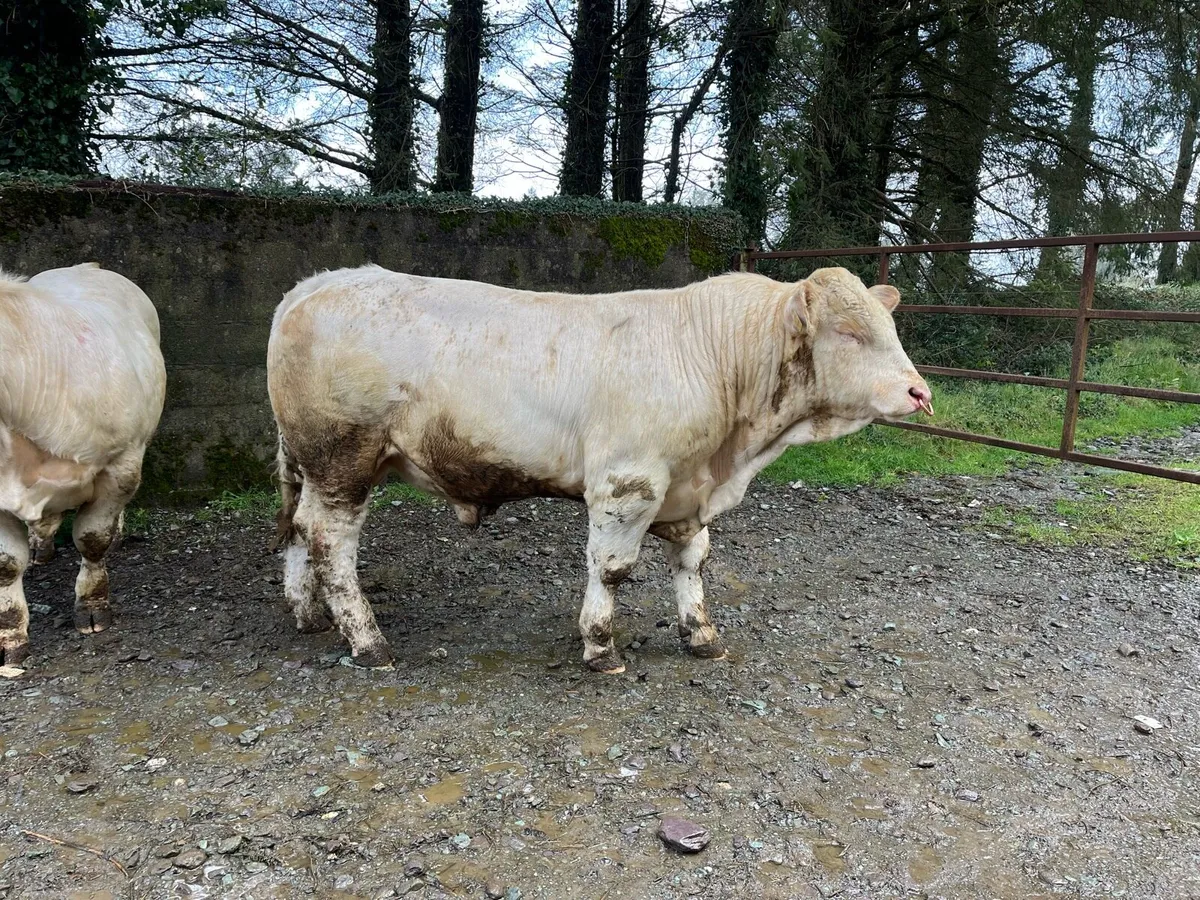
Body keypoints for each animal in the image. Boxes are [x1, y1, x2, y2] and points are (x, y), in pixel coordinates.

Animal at [267, 265, 932, 672]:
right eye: (848, 333)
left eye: (890, 326)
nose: (920, 393)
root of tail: (315, 285)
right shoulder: (628, 483)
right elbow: (612, 568)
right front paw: (599, 644)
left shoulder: (687, 489)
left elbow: (692, 562)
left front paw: (701, 635)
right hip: (343, 459)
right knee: (330, 541)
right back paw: (366, 639)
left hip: (306, 461)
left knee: (297, 528)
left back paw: (308, 614)